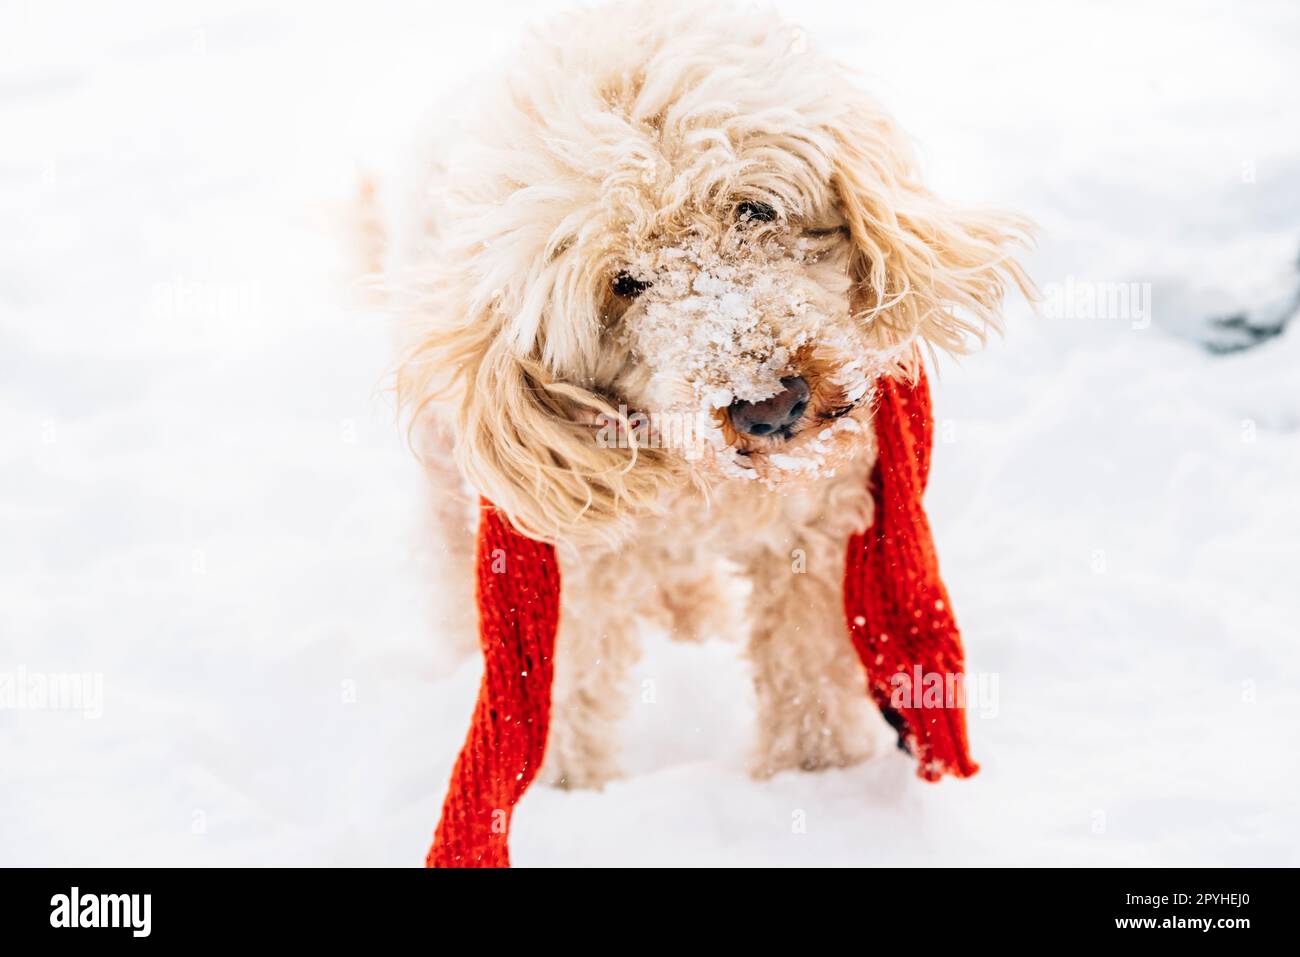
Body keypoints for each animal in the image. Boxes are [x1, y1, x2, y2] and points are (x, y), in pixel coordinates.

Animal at [379, 0, 1029, 790]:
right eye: (624, 283)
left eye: (753, 210)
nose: (770, 404)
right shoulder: (573, 564)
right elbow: (567, 695)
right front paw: (573, 795)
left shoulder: (815, 532)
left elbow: (806, 674)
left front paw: (814, 778)